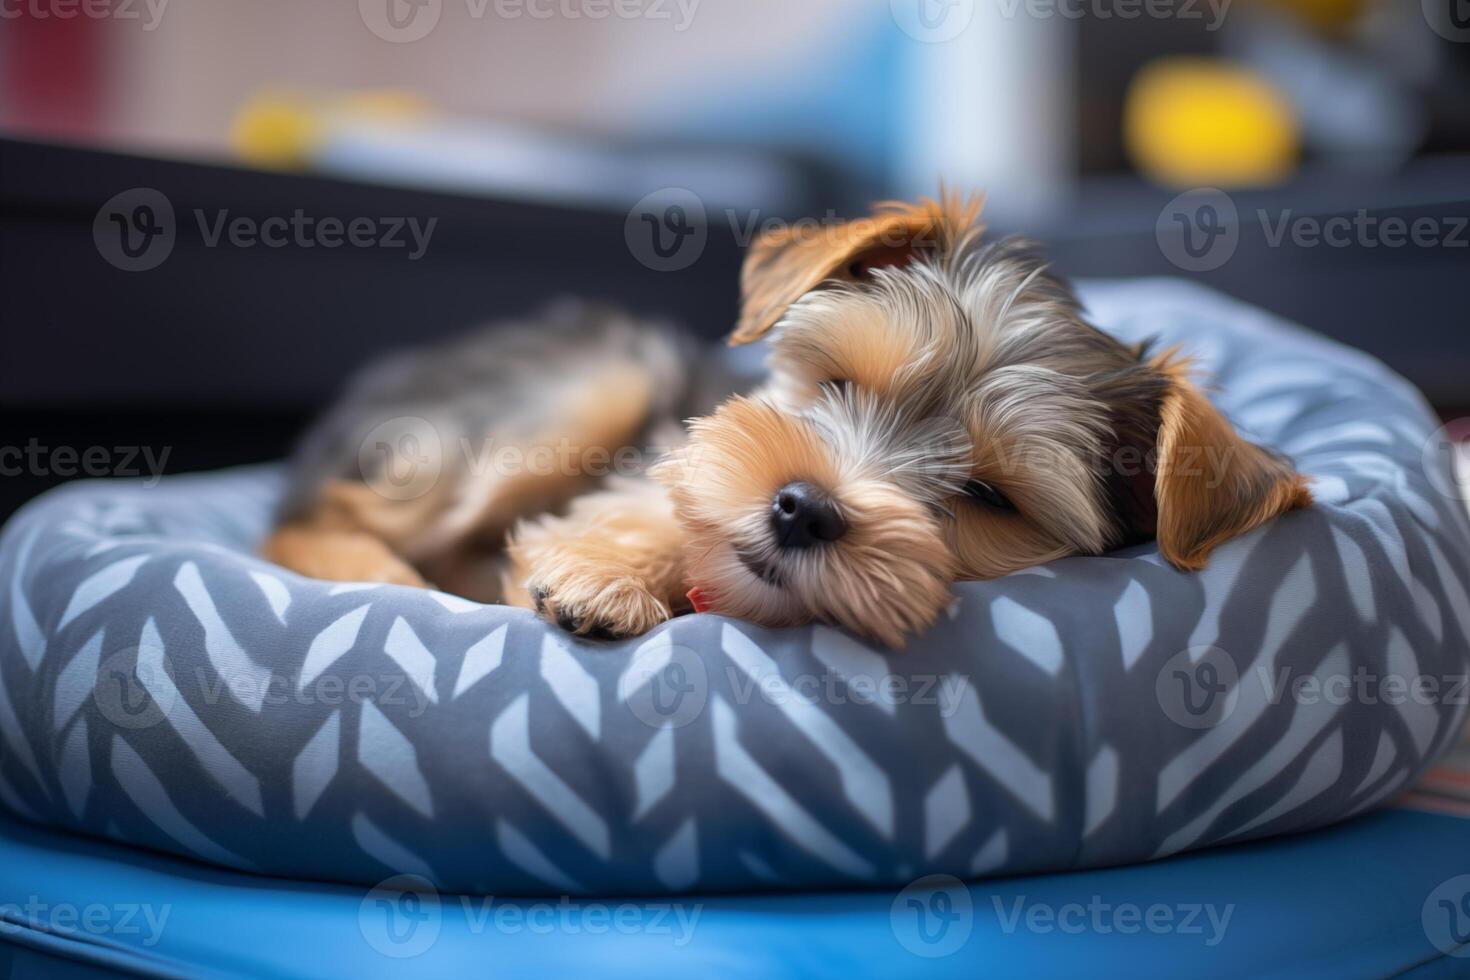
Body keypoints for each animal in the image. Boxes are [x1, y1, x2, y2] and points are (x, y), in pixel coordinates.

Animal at [264, 193, 1311, 646]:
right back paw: (386, 575)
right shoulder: (683, 444)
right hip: (586, 383)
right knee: (309, 518)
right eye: (840, 384)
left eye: (989, 496)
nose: (803, 508)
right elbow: (664, 489)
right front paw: (604, 573)